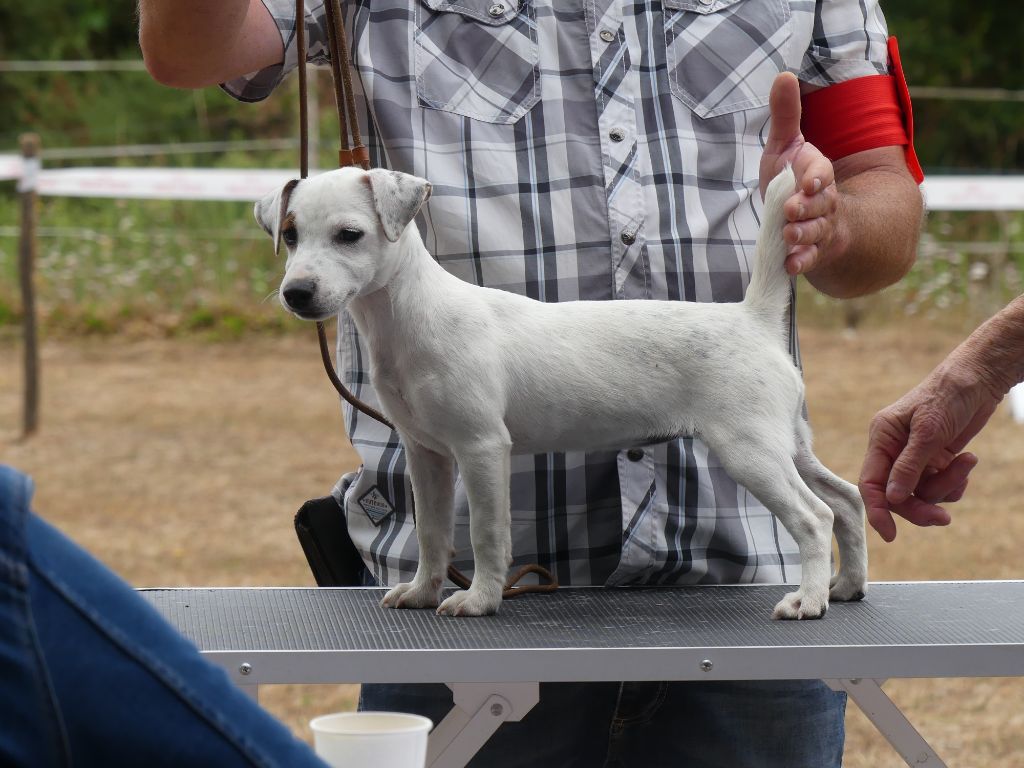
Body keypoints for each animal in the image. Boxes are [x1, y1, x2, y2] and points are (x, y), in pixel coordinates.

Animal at [256, 166, 864, 618]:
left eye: (349, 235)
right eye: (289, 234)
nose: (297, 293)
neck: (410, 317)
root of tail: (751, 319)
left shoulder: (482, 449)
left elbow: (486, 534)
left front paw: (479, 599)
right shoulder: (426, 454)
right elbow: (431, 533)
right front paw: (424, 592)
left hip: (750, 451)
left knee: (815, 517)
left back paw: (808, 601)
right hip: (788, 446)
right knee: (847, 500)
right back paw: (846, 587)